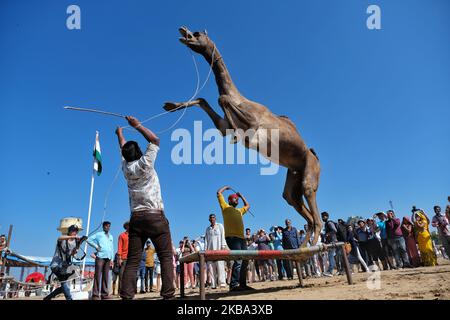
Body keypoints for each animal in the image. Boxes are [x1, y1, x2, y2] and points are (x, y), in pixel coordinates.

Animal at [165, 26, 324, 245]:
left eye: (198, 34)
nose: (183, 31)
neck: (240, 99)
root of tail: (315, 157)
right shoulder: (224, 126)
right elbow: (206, 100)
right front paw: (171, 106)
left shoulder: (254, 126)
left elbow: (222, 99)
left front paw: (235, 139)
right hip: (295, 174)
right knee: (296, 203)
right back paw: (301, 246)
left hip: (310, 172)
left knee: (316, 214)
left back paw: (315, 244)